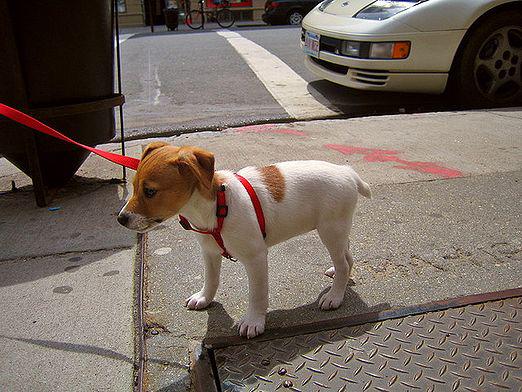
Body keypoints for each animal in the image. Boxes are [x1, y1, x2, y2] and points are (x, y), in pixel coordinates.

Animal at [118, 142, 370, 338]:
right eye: (133, 187)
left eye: (150, 192)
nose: (120, 219)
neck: (215, 206)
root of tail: (347, 172)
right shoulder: (209, 252)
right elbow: (211, 279)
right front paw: (204, 298)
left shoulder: (255, 258)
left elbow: (257, 294)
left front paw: (254, 322)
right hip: (337, 229)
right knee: (346, 256)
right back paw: (337, 275)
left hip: (330, 229)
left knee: (343, 262)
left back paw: (335, 296)